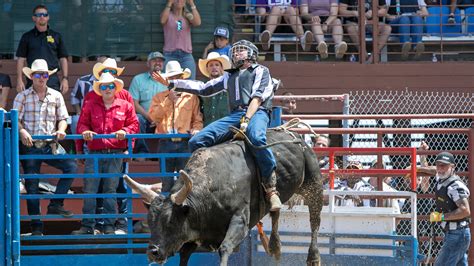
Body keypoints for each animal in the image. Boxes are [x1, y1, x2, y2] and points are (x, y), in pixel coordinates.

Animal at [124, 128, 324, 264]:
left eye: (171, 221)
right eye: (150, 222)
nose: (153, 252)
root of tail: (295, 135)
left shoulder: (240, 221)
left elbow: (225, 247)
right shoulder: (194, 232)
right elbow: (184, 253)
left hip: (314, 184)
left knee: (315, 221)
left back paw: (313, 257)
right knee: (276, 212)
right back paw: (275, 247)